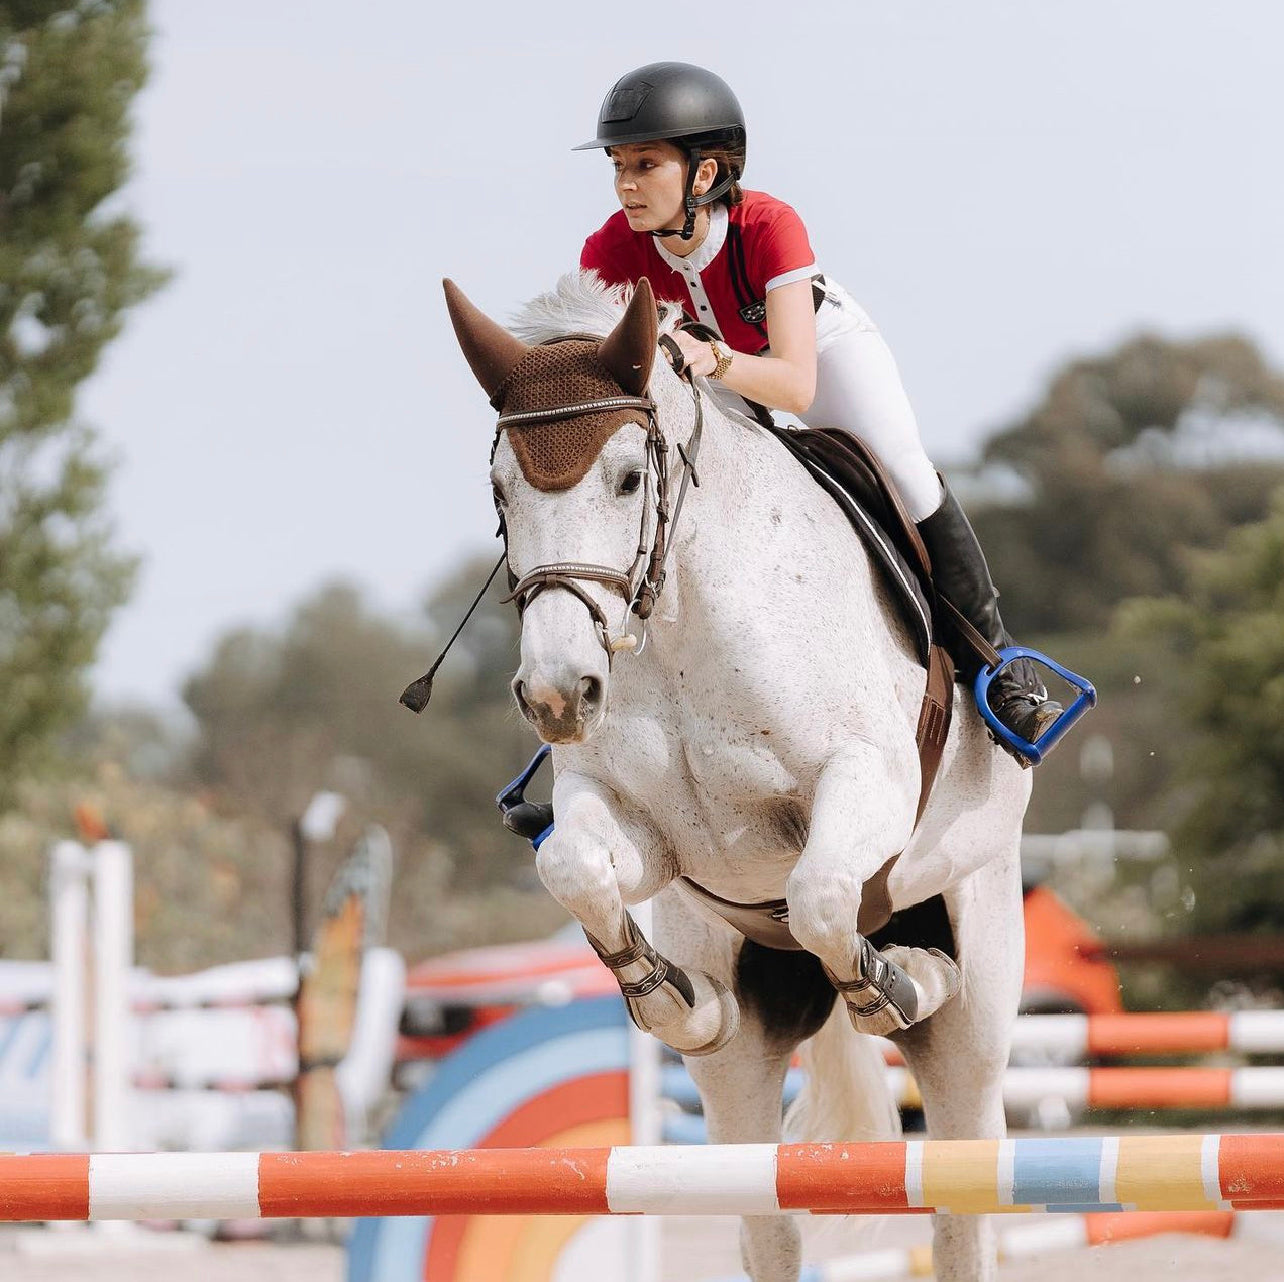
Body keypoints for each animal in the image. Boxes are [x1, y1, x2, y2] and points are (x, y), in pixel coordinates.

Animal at [441, 273, 1032, 1282]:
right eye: (500, 490)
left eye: (628, 478)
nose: (557, 695)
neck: (684, 618)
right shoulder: (647, 835)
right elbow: (575, 869)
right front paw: (674, 998)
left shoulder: (866, 783)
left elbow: (825, 895)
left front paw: (904, 979)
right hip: (746, 1071)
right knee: (768, 1222)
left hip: (979, 1003)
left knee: (963, 1208)